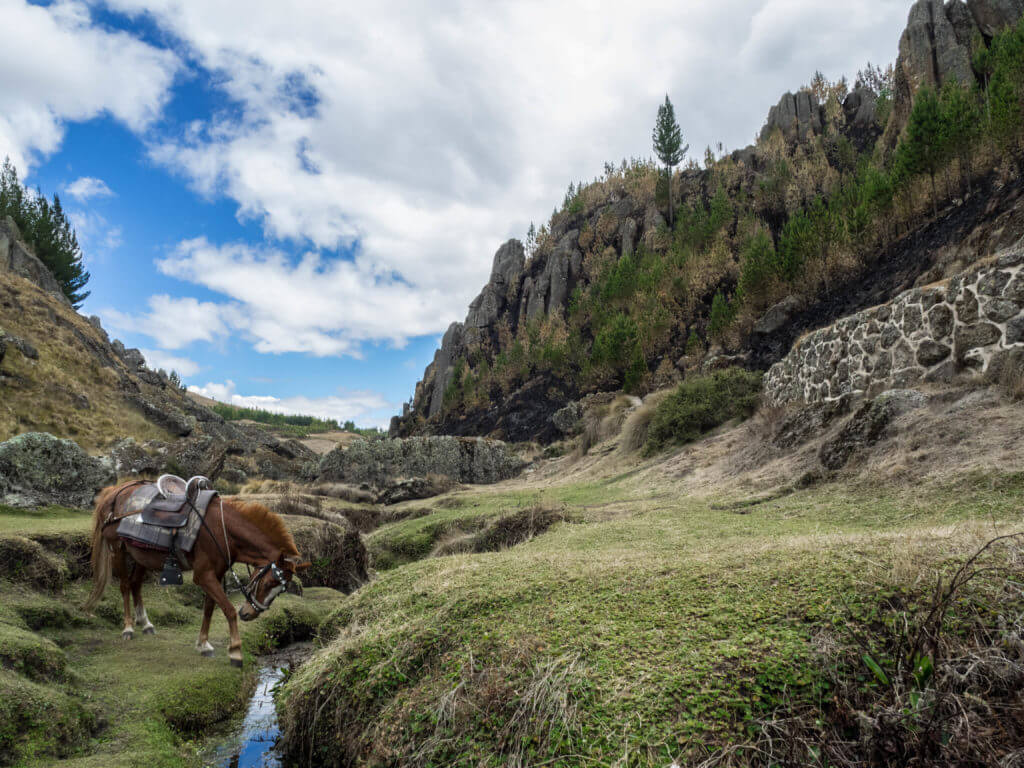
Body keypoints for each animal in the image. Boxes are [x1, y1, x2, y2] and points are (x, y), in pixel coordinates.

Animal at [84, 481, 307, 667]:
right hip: (117, 549)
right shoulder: (203, 575)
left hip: (141, 556)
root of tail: (114, 492)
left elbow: (209, 609)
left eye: (280, 590)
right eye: (269, 583)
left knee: (135, 584)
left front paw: (203, 644)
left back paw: (146, 624)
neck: (222, 530)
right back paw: (129, 628)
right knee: (124, 585)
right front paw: (235, 651)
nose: (250, 614)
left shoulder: (215, 575)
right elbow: (228, 609)